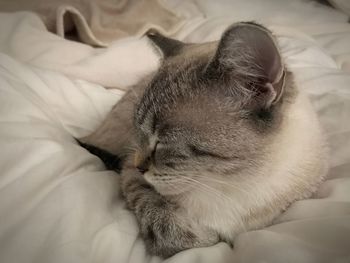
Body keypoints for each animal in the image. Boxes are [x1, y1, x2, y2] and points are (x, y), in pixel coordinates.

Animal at [79, 22, 328, 258]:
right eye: (139, 132)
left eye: (162, 141)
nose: (140, 167)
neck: (232, 182)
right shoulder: (129, 172)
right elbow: (170, 230)